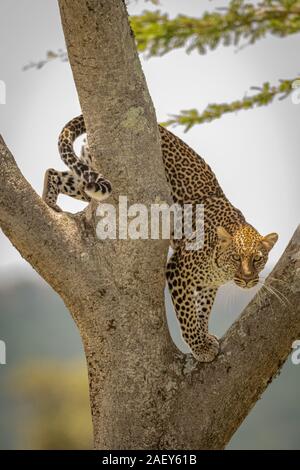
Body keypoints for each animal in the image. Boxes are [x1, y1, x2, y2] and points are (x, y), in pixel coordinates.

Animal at [42, 114, 278, 364]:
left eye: (258, 259)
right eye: (235, 257)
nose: (247, 280)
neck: (220, 269)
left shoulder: (207, 284)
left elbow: (203, 309)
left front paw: (205, 336)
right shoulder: (178, 270)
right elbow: (188, 314)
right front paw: (200, 346)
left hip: (87, 181)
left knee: (55, 173)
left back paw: (50, 202)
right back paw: (50, 206)